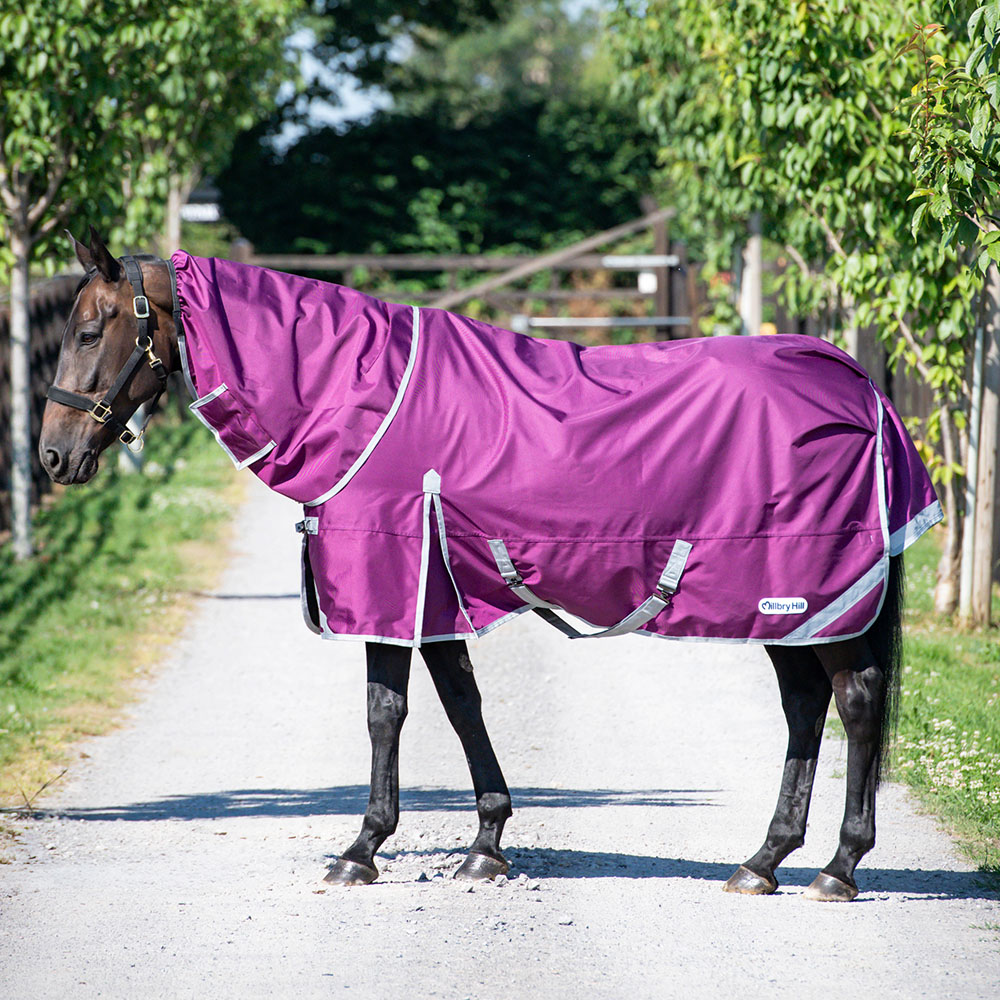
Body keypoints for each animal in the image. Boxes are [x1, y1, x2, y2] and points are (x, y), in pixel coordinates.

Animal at [39, 228, 941, 901]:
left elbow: (386, 711)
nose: (53, 455)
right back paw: (764, 861)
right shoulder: (433, 591)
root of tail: (856, 384)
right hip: (789, 609)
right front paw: (486, 841)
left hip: (808, 595)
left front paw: (361, 849)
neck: (358, 397)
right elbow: (461, 702)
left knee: (855, 702)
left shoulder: (390, 579)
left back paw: (837, 866)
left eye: (88, 332)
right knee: (805, 708)